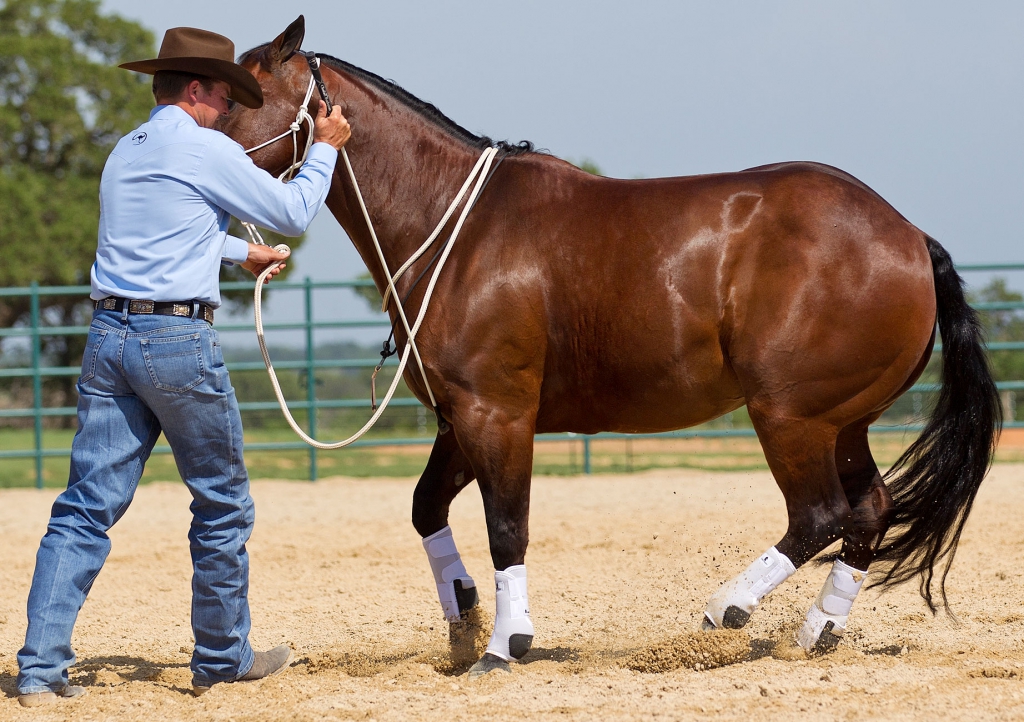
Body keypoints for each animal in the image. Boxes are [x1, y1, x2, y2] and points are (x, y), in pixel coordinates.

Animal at [224, 16, 999, 675]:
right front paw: (463, 615)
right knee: (868, 510)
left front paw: (505, 644)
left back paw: (727, 608)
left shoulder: (497, 414)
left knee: (820, 514)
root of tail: (909, 237)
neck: (456, 228)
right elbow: (426, 509)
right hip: (844, 420)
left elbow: (507, 526)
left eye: (240, 97)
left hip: (790, 416)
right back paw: (816, 632)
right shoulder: (459, 418)